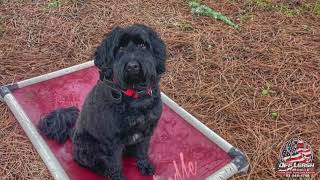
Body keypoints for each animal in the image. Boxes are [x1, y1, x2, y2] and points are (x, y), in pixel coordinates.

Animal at [37, 24, 166, 180]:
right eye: (120, 48)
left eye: (142, 45)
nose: (132, 66)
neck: (134, 96)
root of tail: (73, 133)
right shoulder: (112, 142)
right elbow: (115, 165)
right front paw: (117, 177)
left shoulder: (146, 132)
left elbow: (142, 152)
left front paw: (144, 165)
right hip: (89, 146)